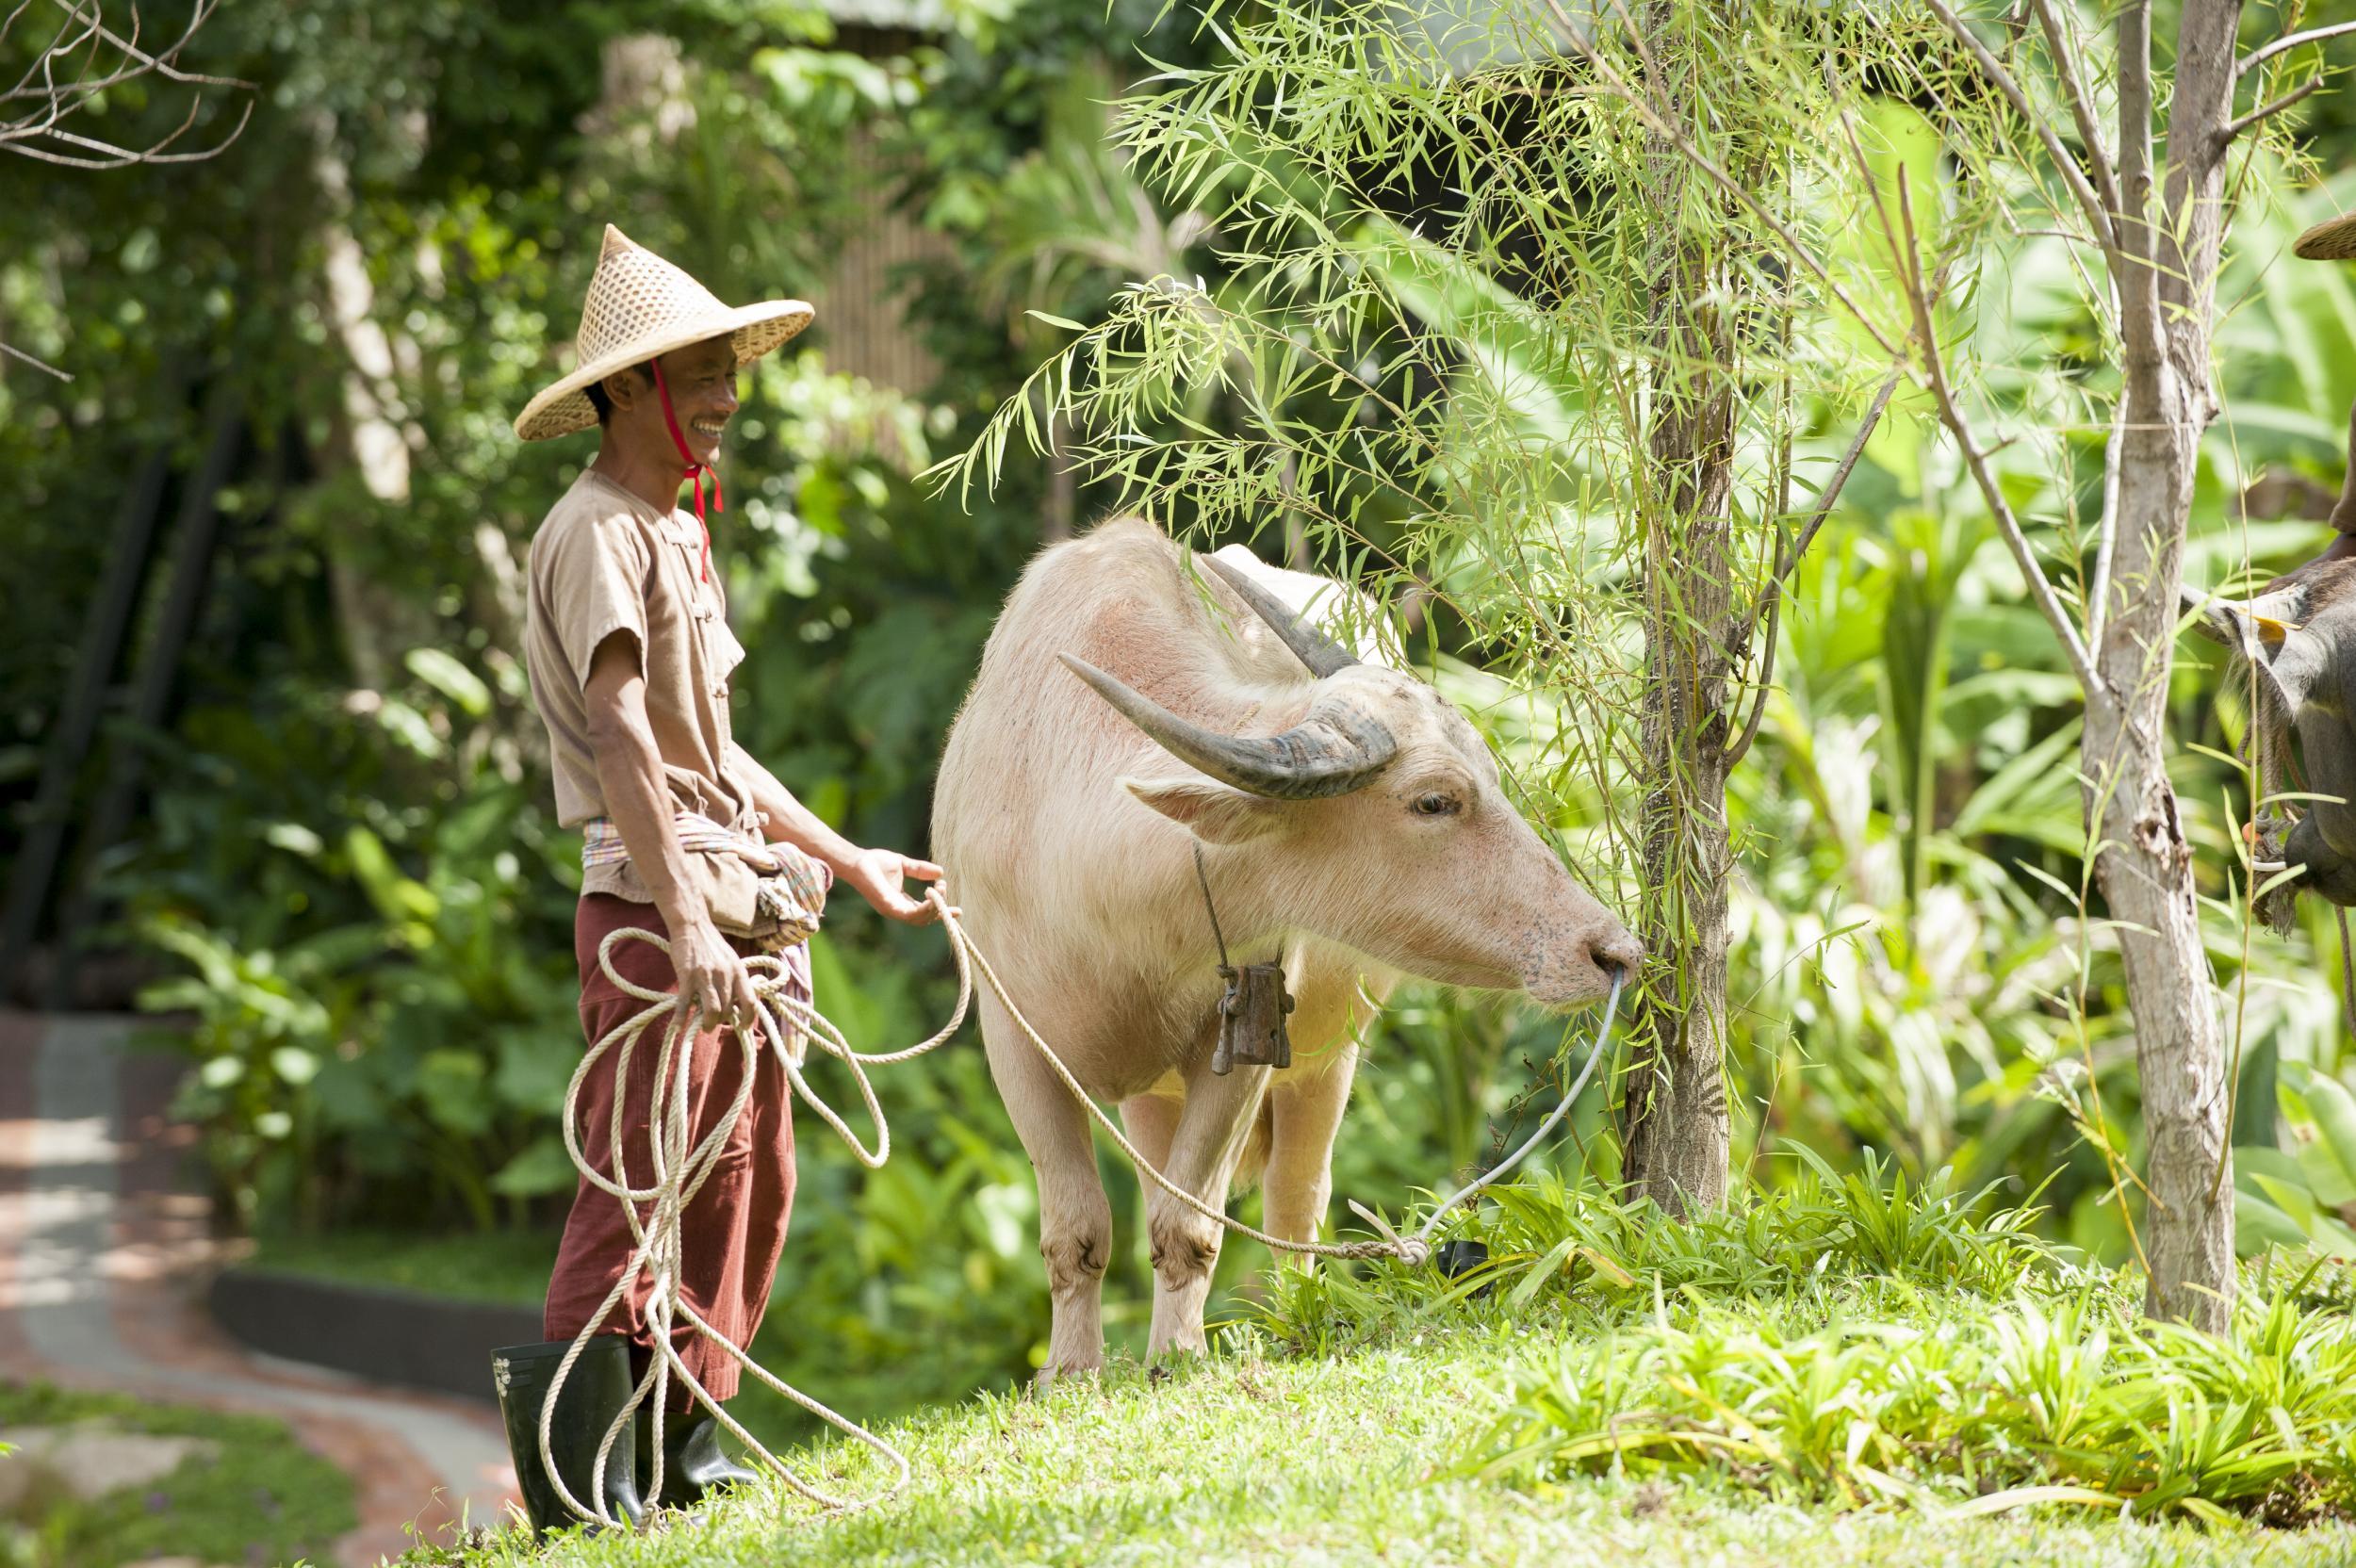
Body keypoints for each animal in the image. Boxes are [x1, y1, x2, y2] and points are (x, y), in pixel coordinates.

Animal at [924, 515, 1640, 1365]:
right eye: (1434, 800)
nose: (1613, 951)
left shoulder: (1247, 1039)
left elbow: (1189, 1226)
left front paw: (1178, 1358)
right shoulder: (1014, 1043)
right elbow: (1077, 1231)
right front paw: (1068, 1371)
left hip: (1331, 1055)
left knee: (1294, 1203)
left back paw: (1292, 1314)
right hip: (1152, 1093)